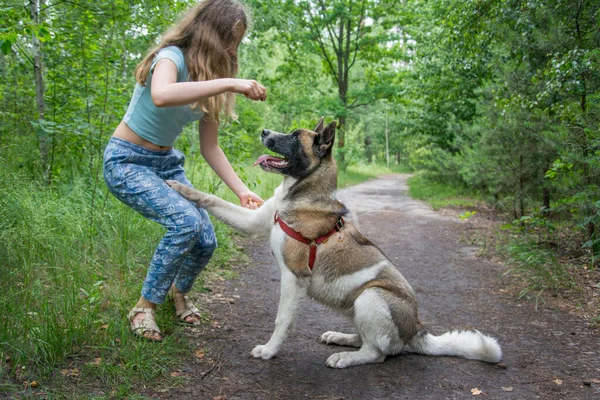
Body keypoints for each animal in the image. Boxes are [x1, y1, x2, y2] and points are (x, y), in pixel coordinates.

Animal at [165, 119, 502, 368]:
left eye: (293, 137)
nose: (263, 131)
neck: (303, 192)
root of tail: (418, 331)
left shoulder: (294, 277)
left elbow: (282, 319)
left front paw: (270, 350)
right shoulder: (254, 222)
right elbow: (212, 199)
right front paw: (179, 187)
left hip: (371, 297)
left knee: (379, 352)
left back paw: (345, 357)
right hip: (356, 305)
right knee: (369, 339)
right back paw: (342, 338)